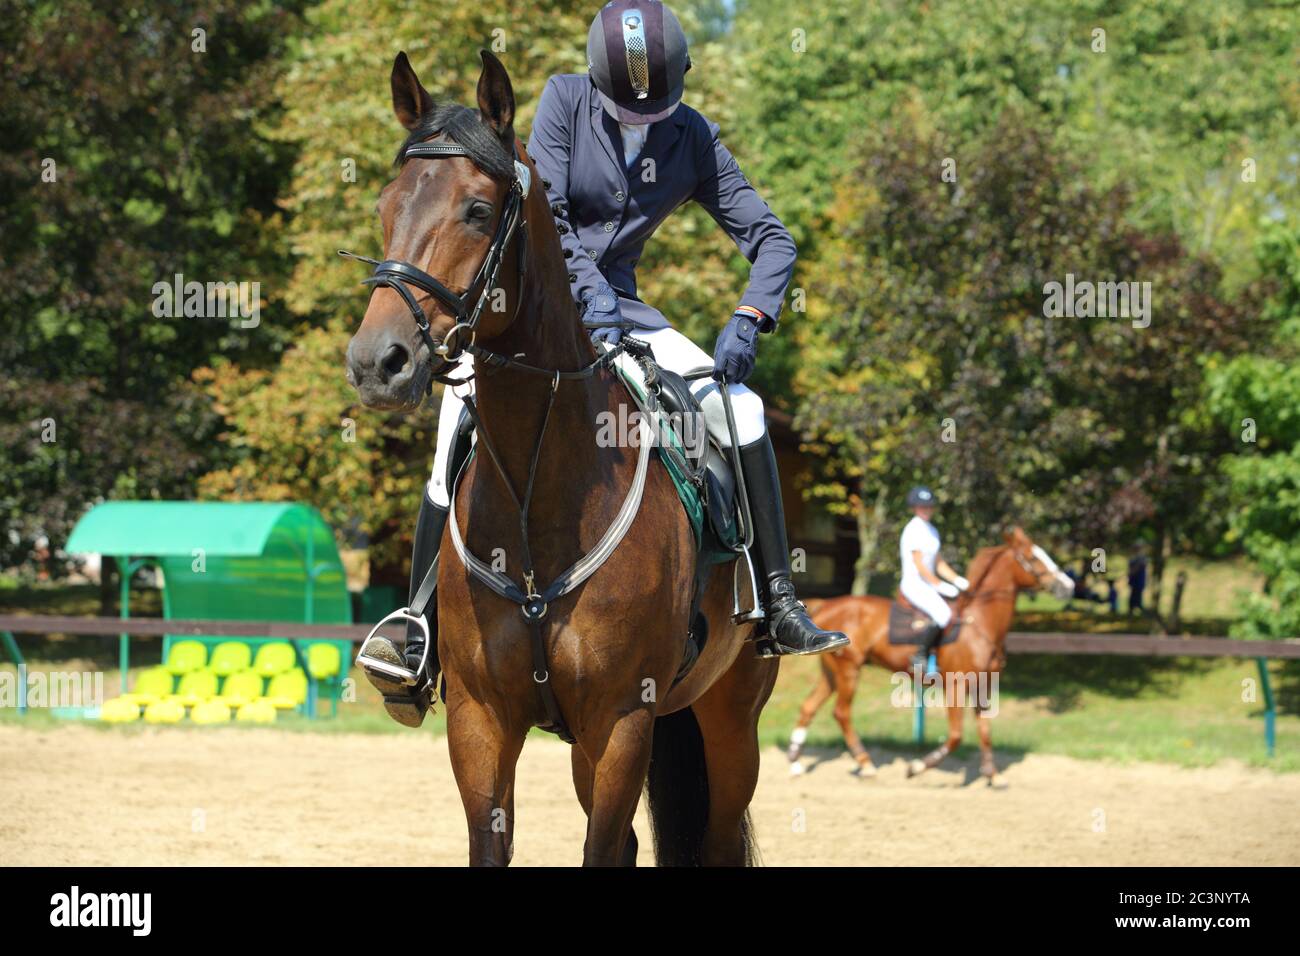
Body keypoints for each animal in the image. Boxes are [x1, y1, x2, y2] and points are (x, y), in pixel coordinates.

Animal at [340, 46, 774, 868]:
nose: (378, 362)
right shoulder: (480, 721)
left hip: (730, 717)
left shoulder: (622, 721)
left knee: (717, 833)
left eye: (478, 211)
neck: (540, 486)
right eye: (385, 207)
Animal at [785, 530, 1071, 785]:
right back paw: (865, 764)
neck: (978, 623)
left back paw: (795, 762)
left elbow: (985, 731)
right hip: (848, 671)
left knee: (808, 707)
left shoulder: (983, 685)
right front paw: (917, 767)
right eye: (1032, 557)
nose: (1066, 586)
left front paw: (993, 775)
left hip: (832, 672)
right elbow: (955, 736)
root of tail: (827, 604)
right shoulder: (956, 685)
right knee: (842, 713)